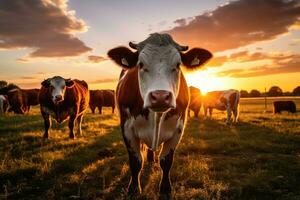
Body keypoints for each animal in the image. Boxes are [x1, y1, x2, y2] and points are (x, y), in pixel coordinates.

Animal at [106, 33, 212, 198]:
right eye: (140, 64)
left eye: (178, 65)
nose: (160, 96)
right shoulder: (126, 127)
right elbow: (136, 161)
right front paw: (133, 189)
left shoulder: (178, 128)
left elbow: (166, 161)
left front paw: (165, 189)